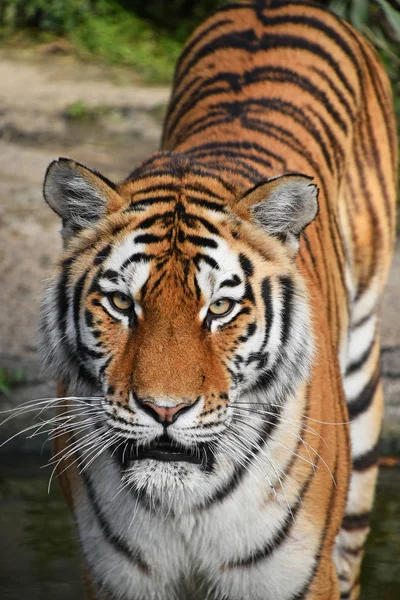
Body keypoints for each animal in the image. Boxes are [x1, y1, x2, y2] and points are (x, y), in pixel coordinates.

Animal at [38, 1, 396, 600]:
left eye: (220, 309)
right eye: (121, 304)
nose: (164, 411)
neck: (184, 504)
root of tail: (272, 7)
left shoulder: (296, 575)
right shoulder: (113, 578)